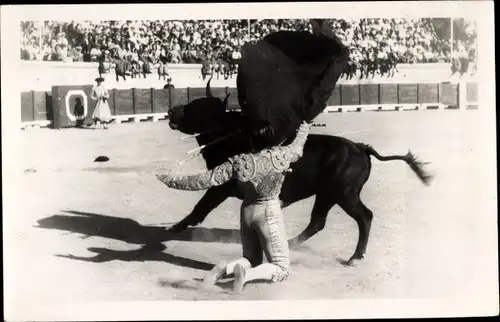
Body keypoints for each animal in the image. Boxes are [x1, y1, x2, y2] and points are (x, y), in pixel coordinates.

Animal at [166, 77, 432, 264]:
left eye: (198, 108)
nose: (171, 111)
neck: (231, 136)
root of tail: (360, 147)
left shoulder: (220, 187)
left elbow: (200, 207)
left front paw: (175, 227)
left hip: (344, 194)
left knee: (364, 217)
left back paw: (354, 257)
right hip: (326, 195)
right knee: (317, 222)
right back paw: (292, 242)